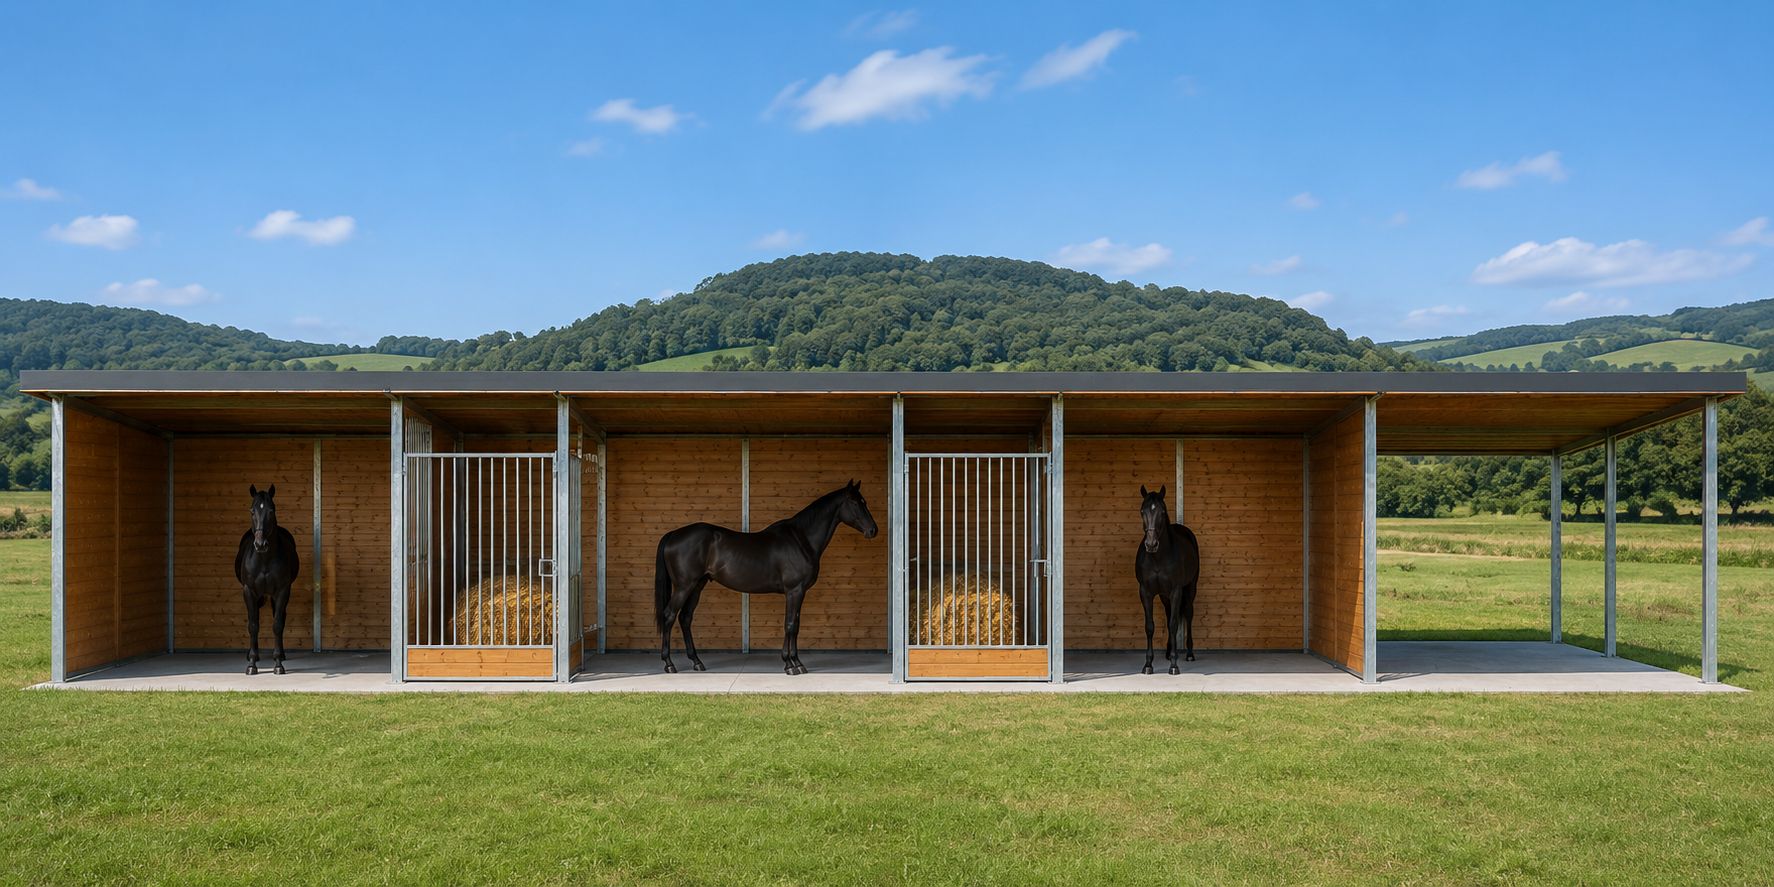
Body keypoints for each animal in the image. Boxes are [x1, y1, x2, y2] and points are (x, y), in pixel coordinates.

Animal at [234, 484, 300, 675]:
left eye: (271, 510)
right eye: (252, 511)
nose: (260, 544)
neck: (264, 559)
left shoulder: (282, 591)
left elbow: (277, 624)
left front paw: (278, 663)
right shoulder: (249, 591)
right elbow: (253, 625)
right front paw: (251, 664)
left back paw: (281, 654)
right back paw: (252, 654)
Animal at [655, 480, 878, 675]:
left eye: (864, 502)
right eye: (855, 503)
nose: (873, 530)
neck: (801, 539)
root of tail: (674, 534)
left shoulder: (799, 592)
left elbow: (795, 625)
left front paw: (796, 663)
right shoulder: (794, 591)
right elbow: (790, 624)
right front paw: (790, 665)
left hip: (697, 586)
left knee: (685, 618)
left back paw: (697, 662)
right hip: (684, 586)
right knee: (669, 615)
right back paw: (669, 664)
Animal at [1134, 484, 1201, 675]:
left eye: (1162, 512)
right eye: (1142, 511)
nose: (1151, 544)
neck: (1158, 558)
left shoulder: (1176, 591)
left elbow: (1173, 624)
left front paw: (1173, 665)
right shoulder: (1145, 592)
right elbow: (1150, 626)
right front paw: (1148, 665)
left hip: (1190, 589)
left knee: (1188, 613)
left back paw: (1189, 654)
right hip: (1164, 596)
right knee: (1169, 611)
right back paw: (1168, 651)